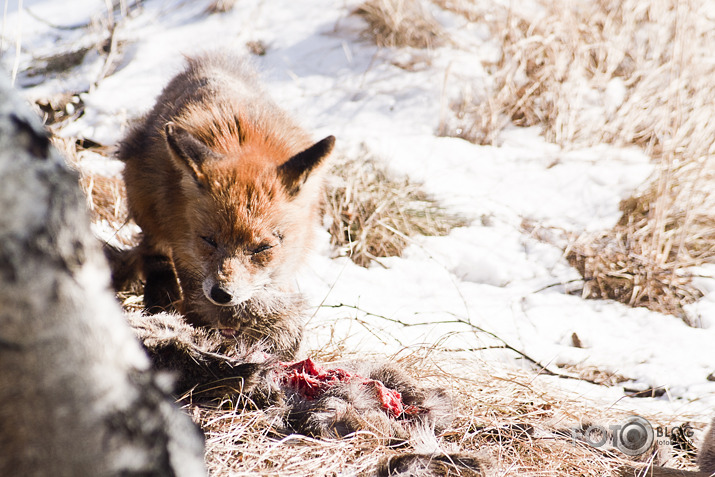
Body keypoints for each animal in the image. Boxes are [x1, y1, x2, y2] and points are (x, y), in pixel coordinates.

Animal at [119, 53, 334, 356]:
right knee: (152, 251)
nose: (222, 294)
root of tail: (201, 65)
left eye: (263, 248)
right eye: (209, 240)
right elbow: (196, 307)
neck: (240, 140)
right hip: (143, 195)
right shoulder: (186, 253)